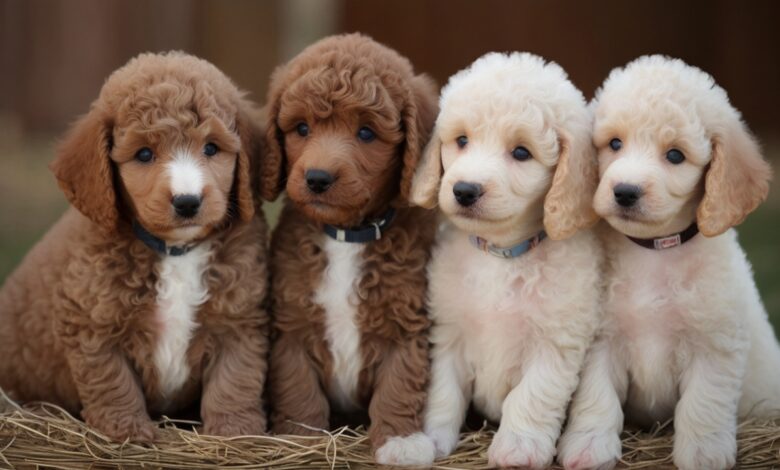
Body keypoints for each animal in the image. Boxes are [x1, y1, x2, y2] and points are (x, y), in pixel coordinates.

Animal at [0, 53, 268, 442]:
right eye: (144, 154)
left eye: (211, 148)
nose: (187, 202)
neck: (176, 251)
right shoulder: (93, 324)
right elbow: (113, 382)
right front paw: (127, 430)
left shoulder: (238, 318)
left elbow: (235, 380)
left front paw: (235, 432)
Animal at [262, 35, 442, 464]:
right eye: (302, 128)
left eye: (366, 133)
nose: (317, 178)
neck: (346, 235)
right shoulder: (292, 325)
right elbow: (298, 388)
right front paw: (302, 438)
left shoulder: (406, 323)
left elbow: (399, 384)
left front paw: (400, 441)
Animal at [408, 53, 604, 468]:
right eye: (461, 141)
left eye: (521, 153)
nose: (464, 190)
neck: (501, 254)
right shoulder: (449, 332)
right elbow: (444, 392)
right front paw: (430, 439)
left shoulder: (555, 341)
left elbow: (531, 396)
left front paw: (518, 449)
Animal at [556, 55, 780, 470]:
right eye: (614, 143)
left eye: (675, 155)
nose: (625, 191)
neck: (655, 249)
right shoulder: (602, 342)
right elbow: (597, 398)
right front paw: (589, 446)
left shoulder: (715, 345)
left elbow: (702, 404)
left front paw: (704, 454)